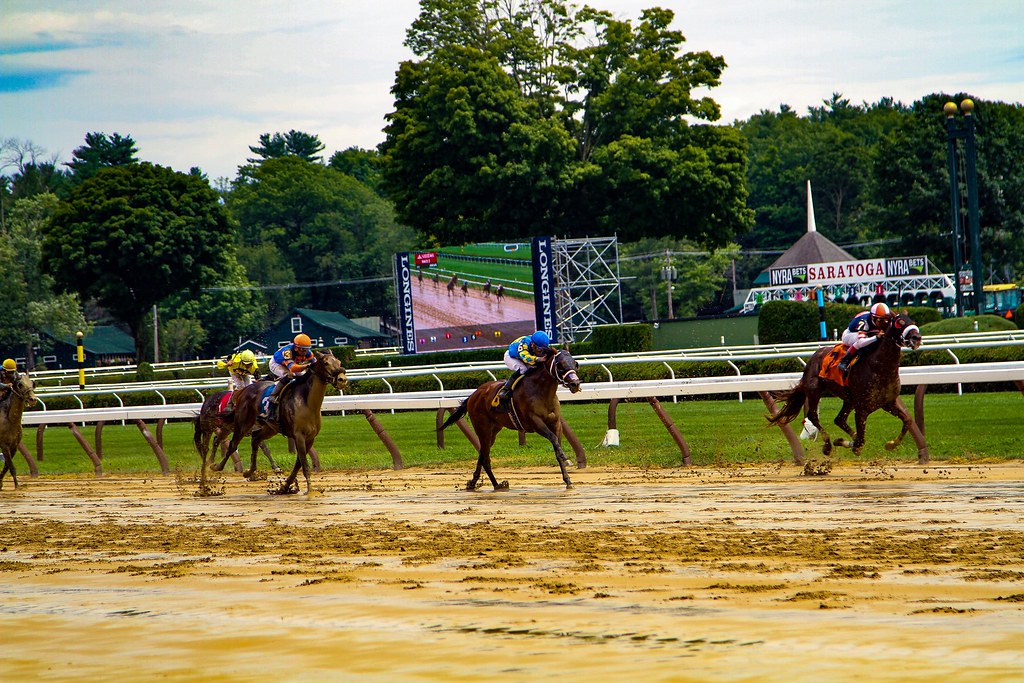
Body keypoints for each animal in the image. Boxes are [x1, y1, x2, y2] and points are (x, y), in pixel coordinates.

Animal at [212, 350, 348, 493]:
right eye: (326, 363)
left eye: (339, 362)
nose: (342, 379)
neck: (307, 402)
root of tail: (244, 390)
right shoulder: (299, 436)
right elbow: (304, 464)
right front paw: (310, 490)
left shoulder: (310, 438)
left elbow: (299, 463)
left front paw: (285, 486)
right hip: (243, 423)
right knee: (233, 445)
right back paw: (215, 466)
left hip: (269, 428)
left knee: (255, 440)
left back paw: (249, 471)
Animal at [438, 348, 585, 491]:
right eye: (559, 365)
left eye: (575, 363)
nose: (575, 384)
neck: (541, 392)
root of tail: (474, 394)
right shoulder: (535, 422)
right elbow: (553, 439)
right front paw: (565, 457)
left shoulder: (556, 423)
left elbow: (557, 448)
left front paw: (568, 480)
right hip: (482, 428)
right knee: (485, 457)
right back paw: (496, 485)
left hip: (493, 430)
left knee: (482, 454)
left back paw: (475, 483)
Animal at [770, 313, 929, 462]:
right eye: (899, 322)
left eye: (913, 321)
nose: (917, 337)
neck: (880, 367)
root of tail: (814, 356)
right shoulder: (862, 410)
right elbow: (861, 440)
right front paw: (848, 444)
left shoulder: (888, 403)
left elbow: (907, 420)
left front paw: (890, 444)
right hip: (814, 390)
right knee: (813, 416)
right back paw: (827, 446)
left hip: (849, 399)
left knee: (839, 419)